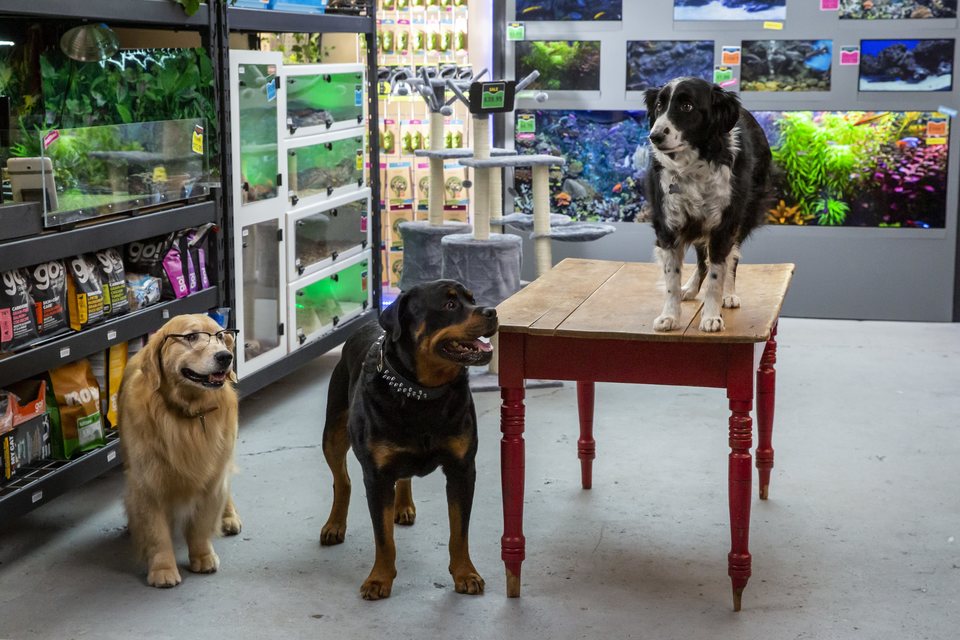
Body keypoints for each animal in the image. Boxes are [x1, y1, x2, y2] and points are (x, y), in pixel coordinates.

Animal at [118, 312, 244, 588]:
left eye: (221, 336)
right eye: (192, 336)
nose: (225, 357)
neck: (190, 415)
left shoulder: (211, 478)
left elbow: (200, 526)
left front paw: (203, 557)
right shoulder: (147, 482)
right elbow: (156, 533)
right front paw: (163, 569)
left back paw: (229, 517)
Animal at [324, 278, 502, 600]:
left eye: (472, 299)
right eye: (450, 304)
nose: (492, 311)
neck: (422, 393)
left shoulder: (462, 469)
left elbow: (460, 531)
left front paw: (465, 573)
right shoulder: (377, 476)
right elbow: (383, 537)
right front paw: (379, 579)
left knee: (402, 475)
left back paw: (403, 506)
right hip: (332, 432)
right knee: (342, 480)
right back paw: (334, 525)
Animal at [644, 77, 772, 332]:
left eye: (687, 107)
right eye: (659, 106)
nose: (655, 136)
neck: (692, 166)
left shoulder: (723, 226)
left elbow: (717, 276)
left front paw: (712, 316)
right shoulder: (668, 226)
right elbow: (672, 278)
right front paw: (669, 316)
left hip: (743, 217)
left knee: (731, 258)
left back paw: (729, 294)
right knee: (703, 261)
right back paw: (691, 288)